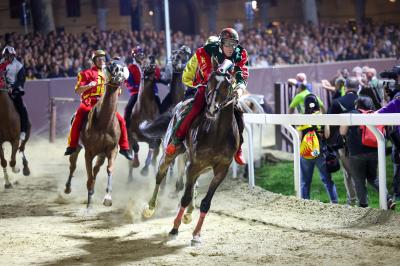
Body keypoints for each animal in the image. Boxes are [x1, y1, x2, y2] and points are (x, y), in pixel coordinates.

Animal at [143, 58, 239, 245]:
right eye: (209, 81)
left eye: (228, 83)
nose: (212, 109)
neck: (217, 134)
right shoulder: (194, 165)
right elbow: (185, 197)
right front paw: (174, 229)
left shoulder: (220, 169)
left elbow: (206, 202)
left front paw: (196, 234)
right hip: (170, 152)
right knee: (160, 175)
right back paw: (150, 208)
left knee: (193, 185)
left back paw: (189, 213)